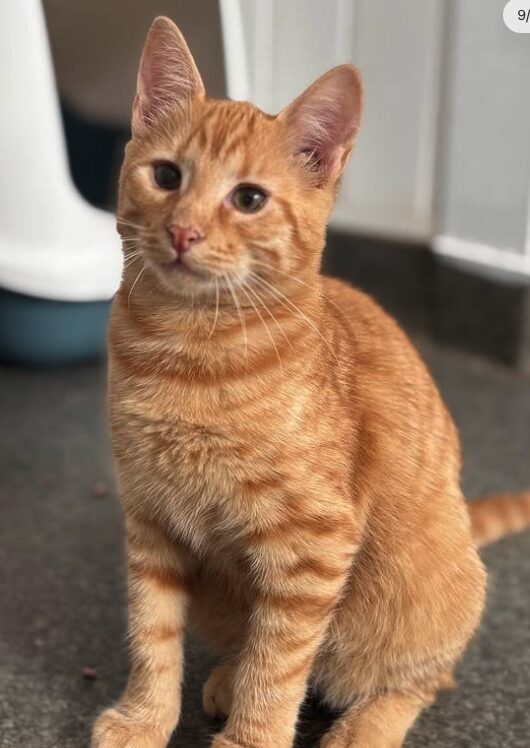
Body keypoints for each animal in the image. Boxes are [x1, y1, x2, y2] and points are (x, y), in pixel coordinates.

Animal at [93, 16, 528, 748]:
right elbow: (153, 636)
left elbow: (279, 662)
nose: (183, 232)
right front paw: (144, 718)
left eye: (248, 199)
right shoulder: (151, 522)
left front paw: (250, 738)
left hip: (420, 596)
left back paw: (364, 725)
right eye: (166, 175)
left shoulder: (310, 547)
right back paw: (225, 676)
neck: (185, 349)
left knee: (417, 679)